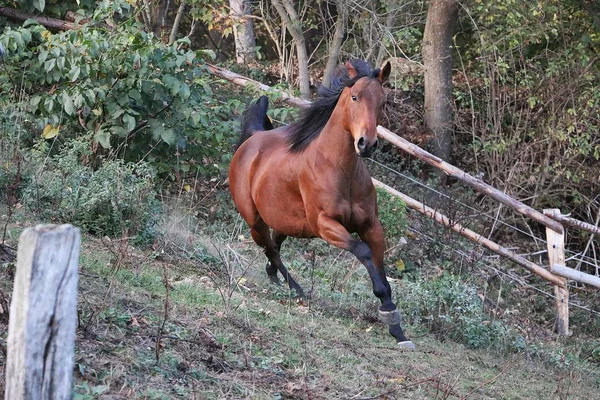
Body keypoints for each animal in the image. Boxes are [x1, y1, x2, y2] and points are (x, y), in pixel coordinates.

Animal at [227, 58, 414, 346]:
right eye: (355, 97)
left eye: (382, 102)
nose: (366, 144)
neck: (340, 170)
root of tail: (250, 141)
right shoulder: (325, 225)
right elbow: (363, 252)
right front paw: (387, 310)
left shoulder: (371, 226)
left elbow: (380, 264)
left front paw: (396, 327)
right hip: (255, 222)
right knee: (270, 249)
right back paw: (297, 289)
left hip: (290, 222)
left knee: (275, 244)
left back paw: (276, 278)